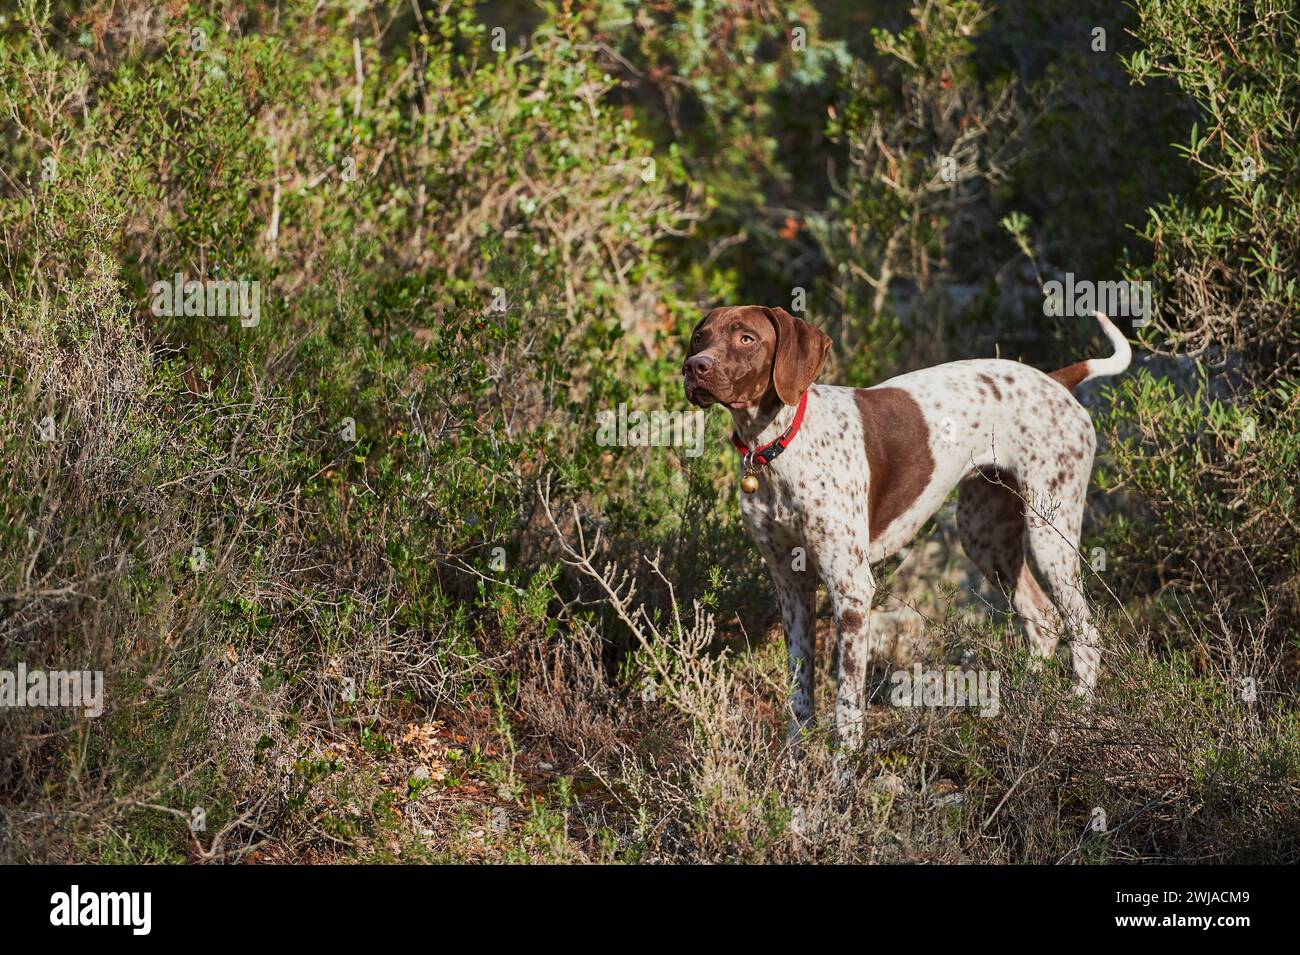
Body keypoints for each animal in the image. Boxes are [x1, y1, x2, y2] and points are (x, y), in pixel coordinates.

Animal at [686, 306, 1133, 748]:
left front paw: (844, 767)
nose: (695, 367)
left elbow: (847, 706)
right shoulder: (790, 584)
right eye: (700, 337)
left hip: (1049, 534)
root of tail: (1055, 380)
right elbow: (800, 694)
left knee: (1085, 632)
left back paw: (1075, 712)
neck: (779, 446)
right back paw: (1025, 702)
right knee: (1041, 621)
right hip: (984, 535)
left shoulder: (850, 589)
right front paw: (794, 763)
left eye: (746, 338)